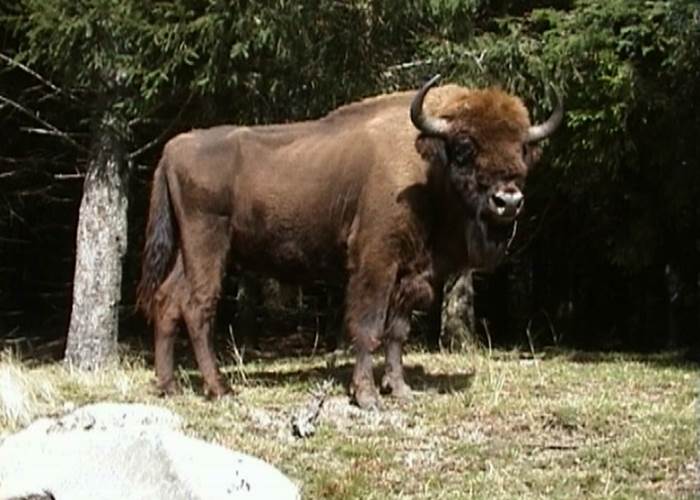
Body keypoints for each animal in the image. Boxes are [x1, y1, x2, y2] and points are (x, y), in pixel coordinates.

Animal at [137, 75, 562, 409]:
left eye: (521, 148)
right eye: (464, 148)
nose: (508, 201)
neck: (424, 166)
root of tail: (172, 149)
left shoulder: (412, 273)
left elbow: (397, 331)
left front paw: (401, 390)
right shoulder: (375, 261)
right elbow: (368, 325)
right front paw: (368, 396)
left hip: (187, 251)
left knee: (168, 301)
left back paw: (169, 386)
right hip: (208, 243)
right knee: (197, 306)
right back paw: (219, 389)